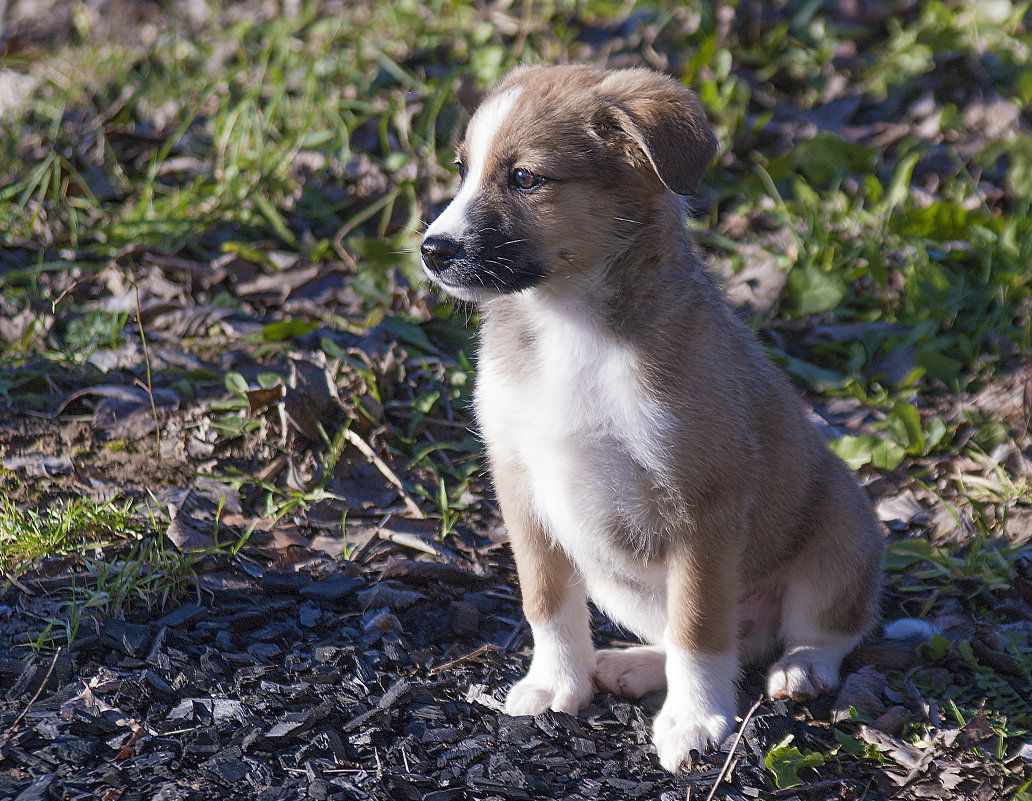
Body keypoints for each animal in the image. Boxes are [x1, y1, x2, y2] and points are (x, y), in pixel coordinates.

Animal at [414, 65, 883, 772]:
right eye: (464, 170)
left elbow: (699, 627)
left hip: (842, 536)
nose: (431, 250)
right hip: (612, 576)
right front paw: (556, 683)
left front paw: (694, 722)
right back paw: (635, 666)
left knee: (815, 632)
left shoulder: (703, 507)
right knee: (718, 641)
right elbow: (547, 602)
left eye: (524, 177)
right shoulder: (523, 490)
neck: (570, 326)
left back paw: (800, 669)